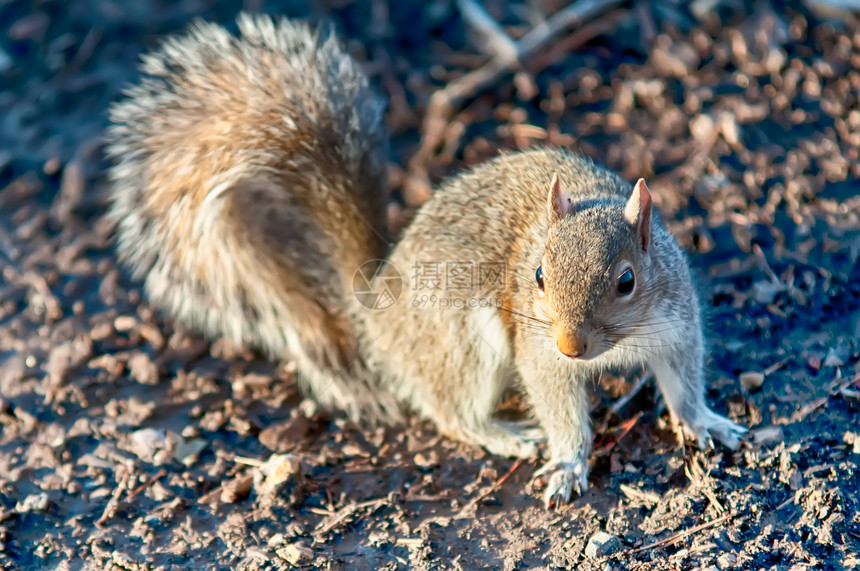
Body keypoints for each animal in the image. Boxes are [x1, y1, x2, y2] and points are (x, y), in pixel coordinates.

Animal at [102, 13, 744, 508]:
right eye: (537, 276)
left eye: (626, 281)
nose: (569, 344)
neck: (619, 343)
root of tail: (376, 314)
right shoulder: (536, 354)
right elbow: (560, 408)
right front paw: (567, 463)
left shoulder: (677, 324)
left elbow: (684, 384)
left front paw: (704, 422)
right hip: (463, 343)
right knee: (451, 412)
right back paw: (505, 435)